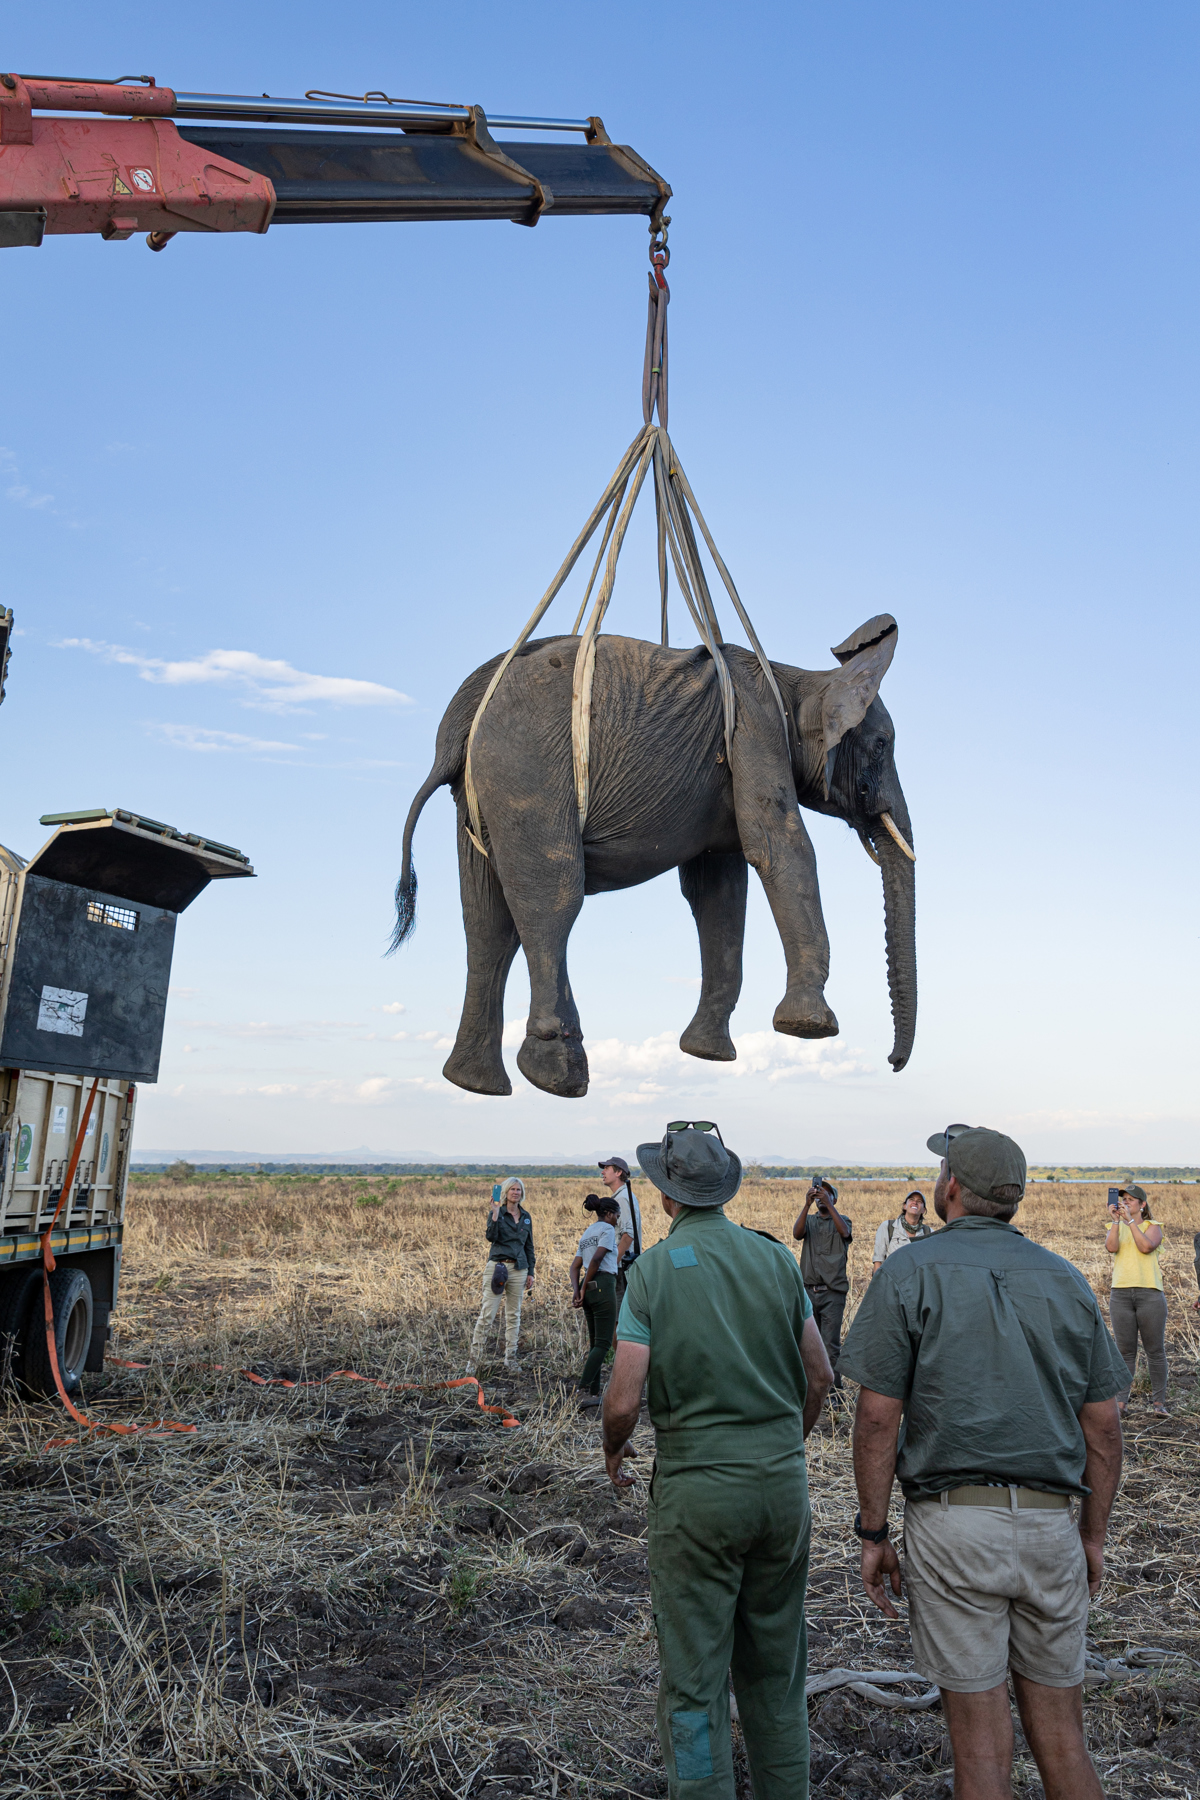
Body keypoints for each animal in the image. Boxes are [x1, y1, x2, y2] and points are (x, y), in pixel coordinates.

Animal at [395, 615, 921, 1094]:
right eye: (881, 746)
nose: (894, 1063)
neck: (798, 678)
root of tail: (454, 728)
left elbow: (719, 886)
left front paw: (706, 1053)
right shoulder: (757, 729)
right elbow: (779, 846)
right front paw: (810, 1026)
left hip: (479, 792)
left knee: (487, 921)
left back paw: (475, 1083)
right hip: (529, 769)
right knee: (553, 896)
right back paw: (558, 1072)